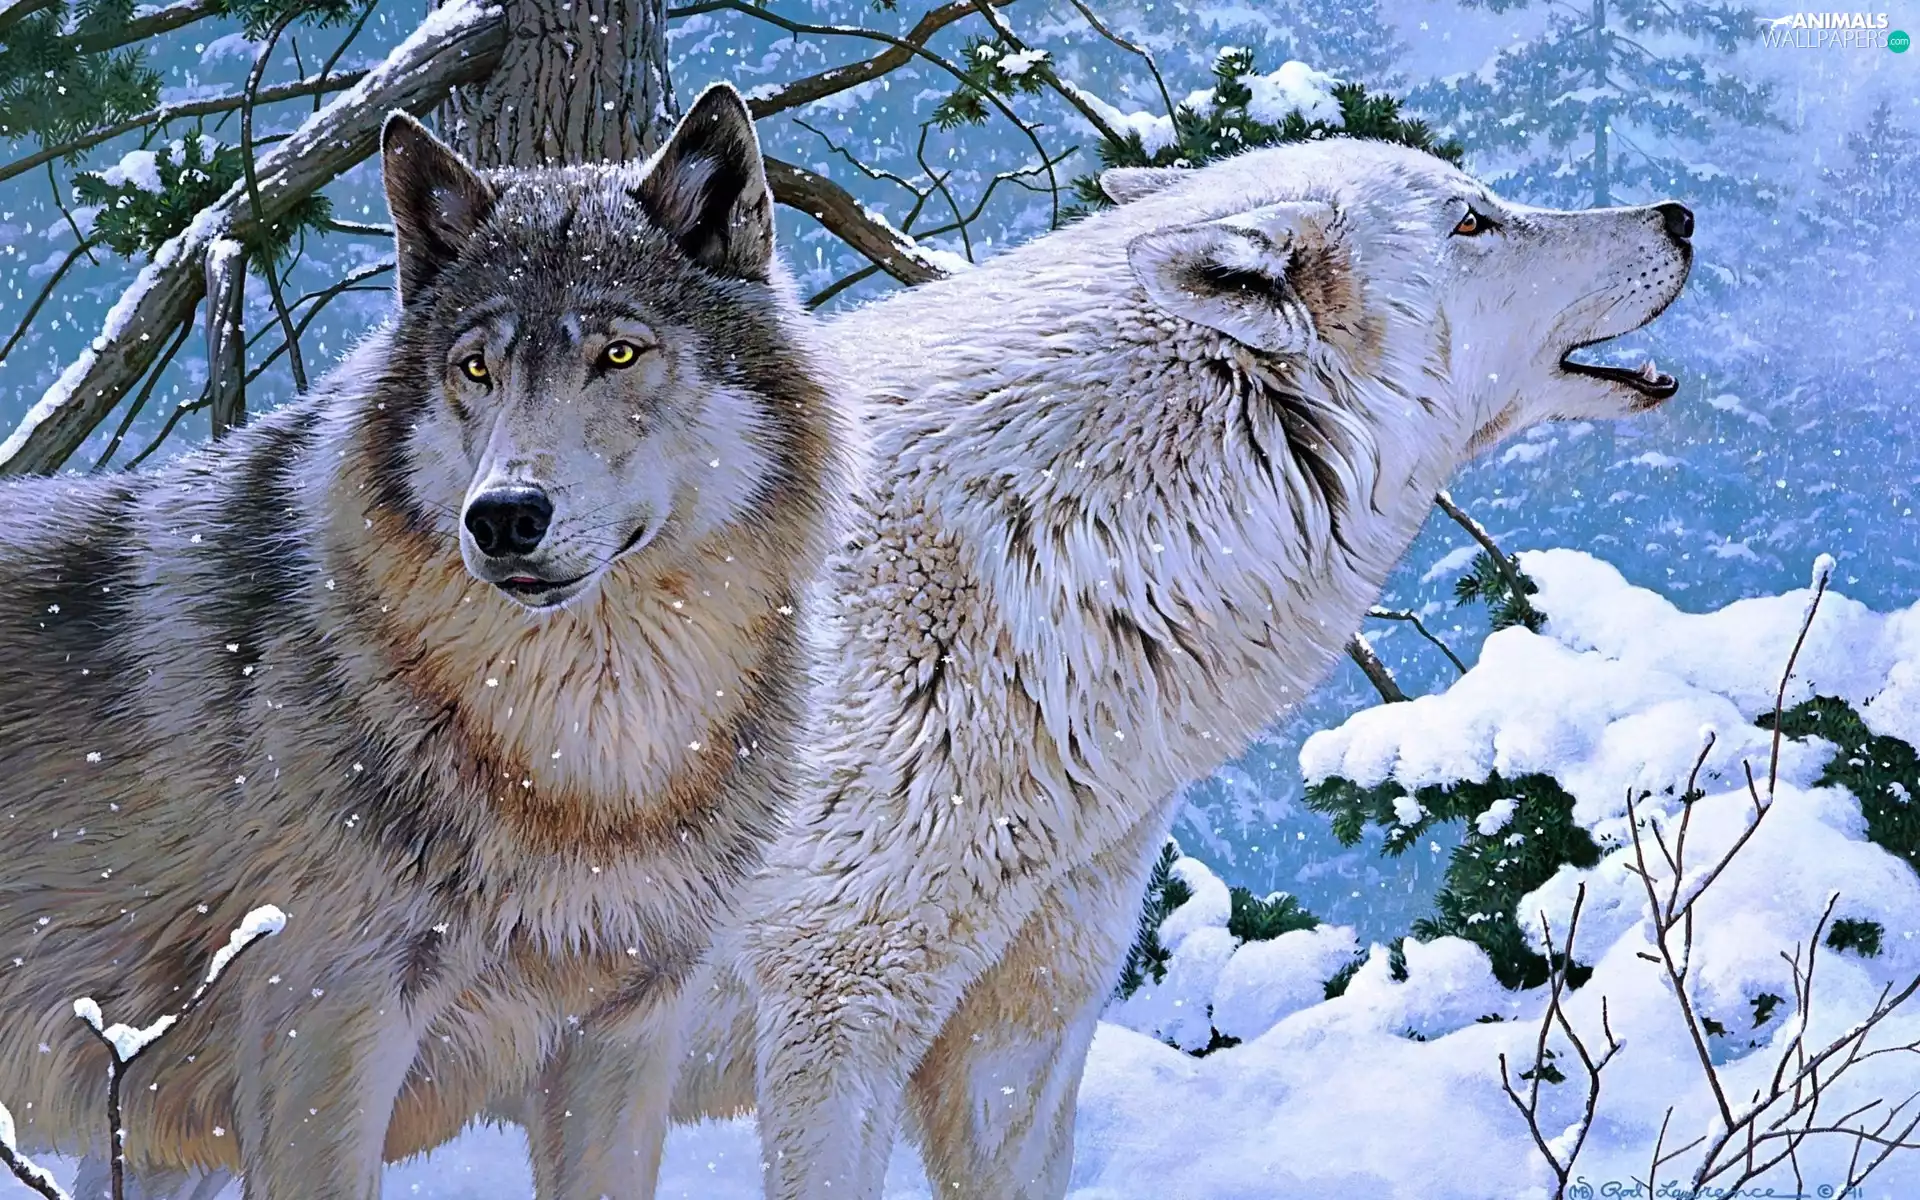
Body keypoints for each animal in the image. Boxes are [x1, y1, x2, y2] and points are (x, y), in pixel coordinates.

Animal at [0, 83, 848, 1200]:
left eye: (619, 353)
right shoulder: (326, 1035)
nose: (504, 516)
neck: (590, 756)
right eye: (476, 368)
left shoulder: (629, 1028)